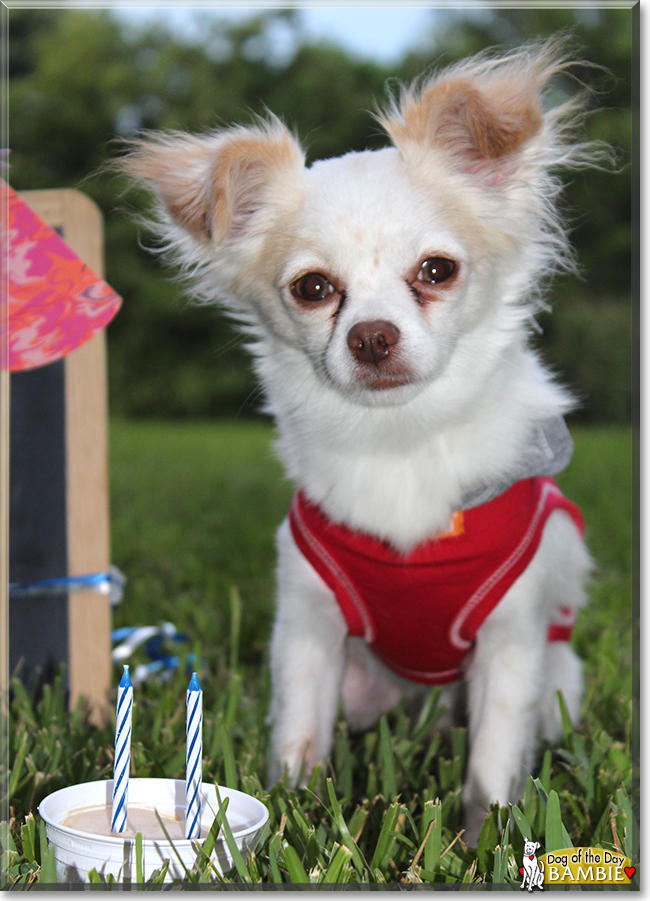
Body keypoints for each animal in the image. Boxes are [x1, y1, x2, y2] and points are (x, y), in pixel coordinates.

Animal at [121, 40, 596, 844]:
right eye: (313, 288)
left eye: (437, 271)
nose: (371, 336)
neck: (398, 440)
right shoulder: (308, 629)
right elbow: (298, 739)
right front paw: (288, 816)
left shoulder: (512, 643)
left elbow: (495, 757)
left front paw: (484, 838)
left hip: (561, 677)